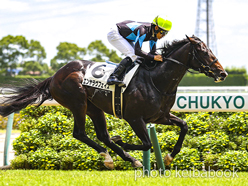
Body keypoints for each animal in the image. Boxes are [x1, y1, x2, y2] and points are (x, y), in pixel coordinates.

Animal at [0, 35, 228, 169]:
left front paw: (169, 157)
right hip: (78, 103)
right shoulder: (135, 118)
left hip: (95, 108)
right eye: (204, 51)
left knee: (102, 135)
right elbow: (147, 143)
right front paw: (125, 143)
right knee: (80, 133)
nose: (223, 73)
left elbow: (184, 125)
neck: (157, 80)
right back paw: (111, 157)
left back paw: (125, 158)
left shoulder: (160, 116)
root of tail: (55, 75)